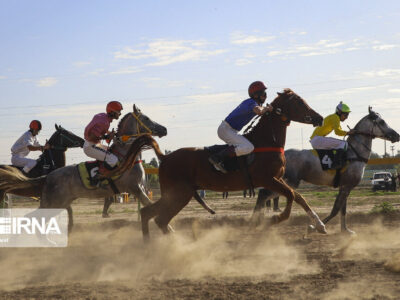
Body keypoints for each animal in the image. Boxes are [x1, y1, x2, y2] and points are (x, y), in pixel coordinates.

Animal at [139, 88, 326, 240]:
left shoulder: (277, 179)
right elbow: (291, 195)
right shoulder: (268, 179)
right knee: (159, 218)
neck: (266, 141)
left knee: (149, 213)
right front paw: (276, 218)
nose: (320, 117)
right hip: (179, 193)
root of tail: (165, 158)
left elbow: (298, 197)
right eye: (299, 102)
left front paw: (319, 225)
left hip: (178, 193)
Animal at [253, 106, 400, 236]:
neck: (354, 154)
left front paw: (345, 230)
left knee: (263, 194)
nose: (396, 135)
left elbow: (343, 210)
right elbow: (335, 210)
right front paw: (314, 228)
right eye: (381, 121)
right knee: (264, 194)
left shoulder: (344, 186)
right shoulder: (347, 186)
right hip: (289, 182)